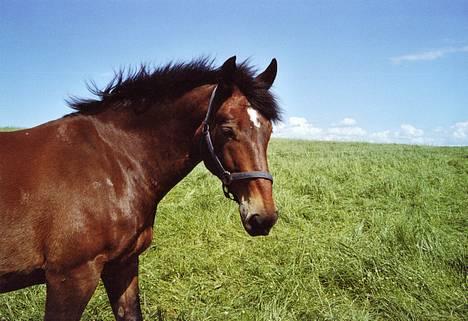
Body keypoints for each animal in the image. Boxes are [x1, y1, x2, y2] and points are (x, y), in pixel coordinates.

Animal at [0, 56, 280, 318]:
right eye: (227, 130)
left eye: (268, 130)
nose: (263, 217)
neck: (111, 161)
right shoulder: (70, 277)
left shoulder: (122, 265)